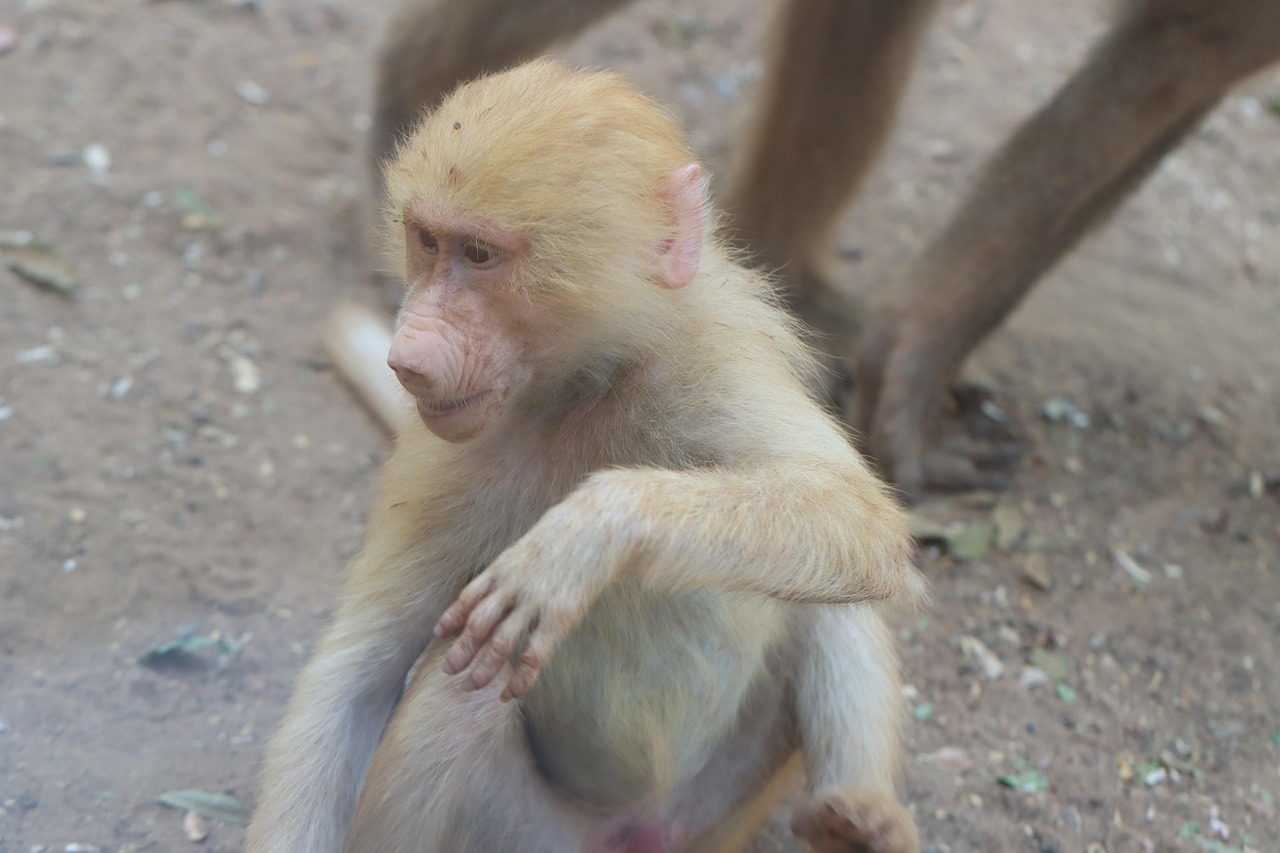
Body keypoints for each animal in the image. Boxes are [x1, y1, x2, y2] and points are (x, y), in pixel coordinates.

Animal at [248, 60, 926, 853]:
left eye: (478, 254)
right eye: (427, 240)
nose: (407, 357)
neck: (583, 388)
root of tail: (646, 830)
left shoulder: (713, 366)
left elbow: (856, 514)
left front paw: (585, 539)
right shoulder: (444, 460)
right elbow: (352, 686)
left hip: (726, 808)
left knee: (825, 595)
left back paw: (858, 817)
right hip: (544, 832)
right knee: (463, 690)